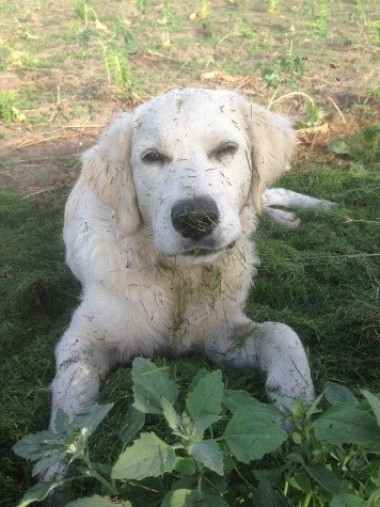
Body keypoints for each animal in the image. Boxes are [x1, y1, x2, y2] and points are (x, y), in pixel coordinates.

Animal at [48, 91, 332, 444]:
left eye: (226, 149)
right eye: (152, 157)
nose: (195, 218)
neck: (180, 276)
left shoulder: (219, 332)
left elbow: (282, 333)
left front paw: (296, 403)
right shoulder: (83, 337)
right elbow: (70, 393)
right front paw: (59, 453)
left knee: (266, 194)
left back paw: (313, 209)